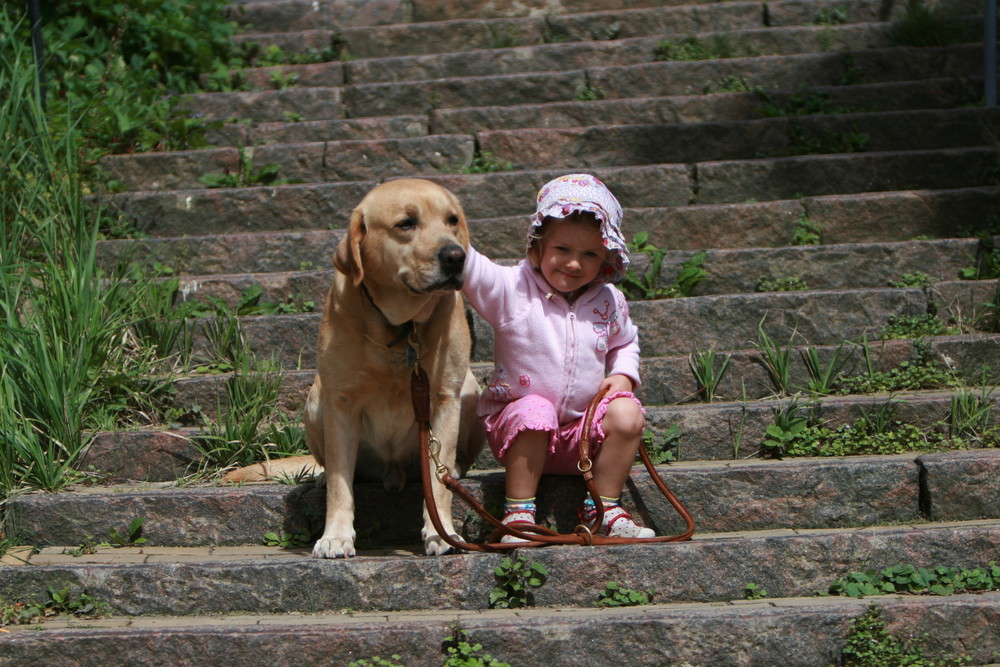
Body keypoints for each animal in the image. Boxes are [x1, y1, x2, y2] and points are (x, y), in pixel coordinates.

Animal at [304, 179, 480, 560]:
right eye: (406, 223)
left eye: (452, 220)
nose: (456, 256)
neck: (402, 329)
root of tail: (392, 471)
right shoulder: (339, 402)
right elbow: (340, 484)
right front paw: (335, 535)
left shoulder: (444, 397)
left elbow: (438, 481)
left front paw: (441, 532)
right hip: (314, 400)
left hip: (471, 389)